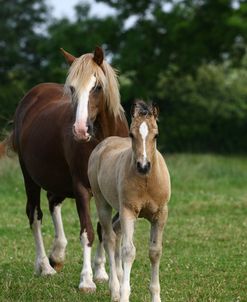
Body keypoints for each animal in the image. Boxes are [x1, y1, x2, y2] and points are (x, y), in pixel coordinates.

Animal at [9, 47, 129, 292]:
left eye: (97, 87)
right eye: (72, 88)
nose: (81, 130)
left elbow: (104, 229)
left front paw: (102, 272)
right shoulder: (82, 188)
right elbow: (87, 232)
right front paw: (86, 280)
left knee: (53, 202)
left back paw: (58, 254)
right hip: (30, 178)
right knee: (34, 215)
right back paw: (45, 266)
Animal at [88, 101, 171, 302]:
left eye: (156, 135)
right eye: (131, 134)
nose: (143, 166)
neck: (147, 181)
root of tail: (104, 144)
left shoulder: (161, 214)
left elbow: (155, 252)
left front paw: (156, 297)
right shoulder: (128, 212)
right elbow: (128, 251)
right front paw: (124, 294)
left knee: (115, 232)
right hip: (103, 203)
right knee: (109, 238)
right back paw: (115, 290)